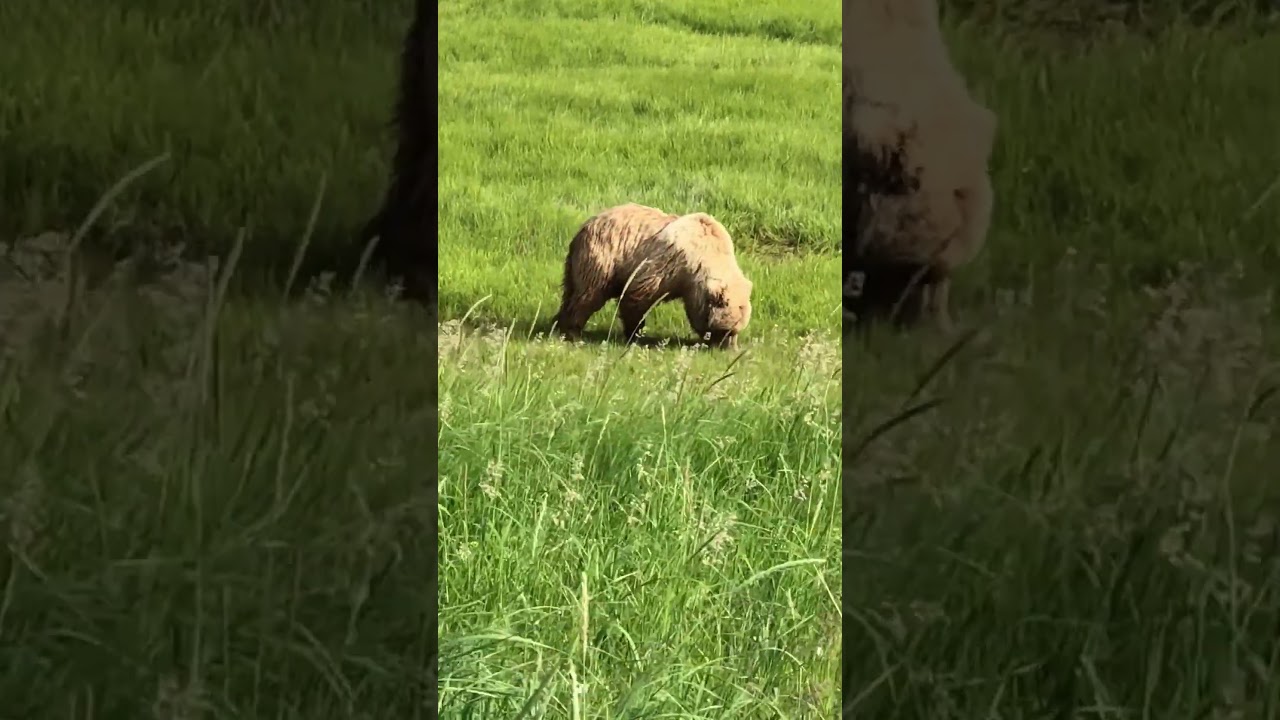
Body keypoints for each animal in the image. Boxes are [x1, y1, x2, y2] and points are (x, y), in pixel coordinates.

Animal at [554, 203, 754, 349]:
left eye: (736, 331)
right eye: (725, 330)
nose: (726, 348)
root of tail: (584, 227)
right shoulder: (669, 262)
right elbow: (638, 296)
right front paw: (635, 334)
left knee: (570, 291)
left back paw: (559, 324)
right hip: (602, 257)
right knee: (588, 295)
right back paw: (573, 332)